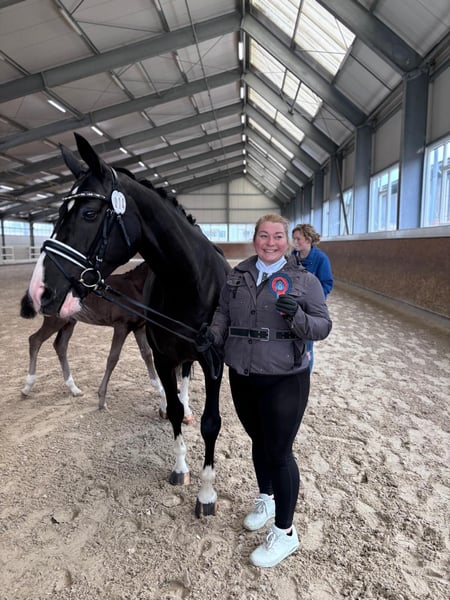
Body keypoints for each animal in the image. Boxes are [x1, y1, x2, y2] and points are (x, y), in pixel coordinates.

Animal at [27, 132, 230, 517]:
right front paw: (180, 467)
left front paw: (207, 494)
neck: (191, 283)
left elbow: (212, 423)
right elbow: (175, 408)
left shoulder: (214, 362)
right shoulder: (163, 356)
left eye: (89, 213)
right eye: (58, 214)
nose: (39, 290)